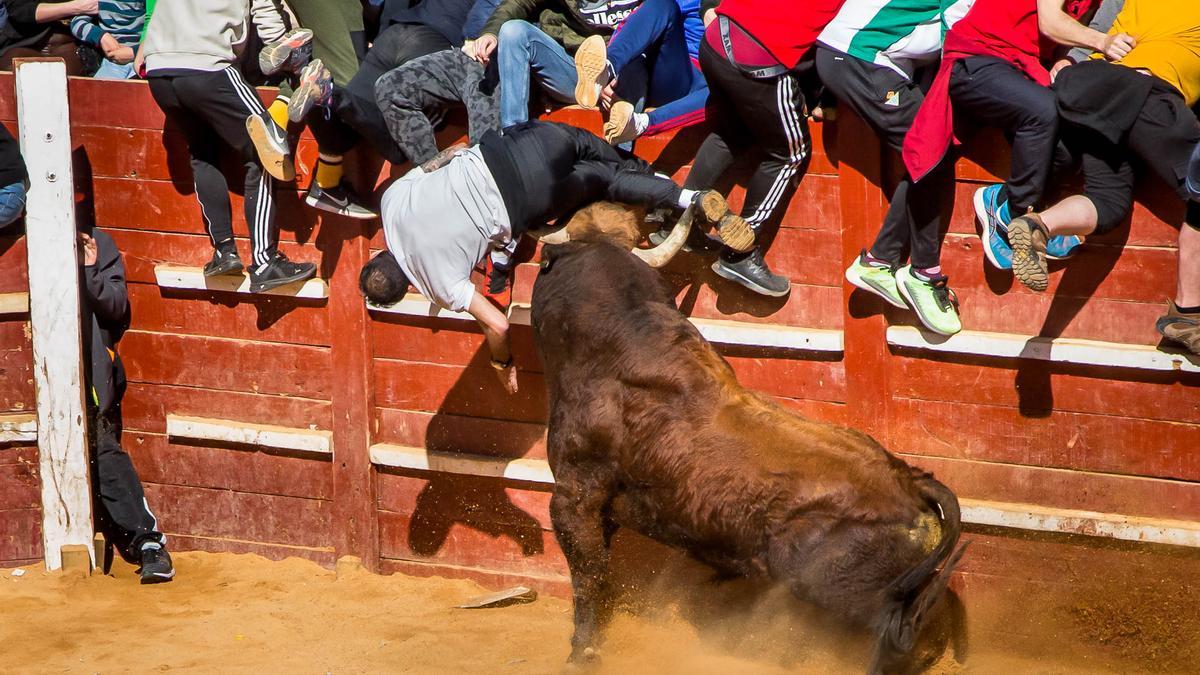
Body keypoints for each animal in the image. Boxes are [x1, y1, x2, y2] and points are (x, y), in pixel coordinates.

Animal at [535, 201, 964, 667]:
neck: (617, 338)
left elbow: (588, 575)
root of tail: (909, 479)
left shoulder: (574, 495)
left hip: (845, 597)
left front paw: (582, 652)